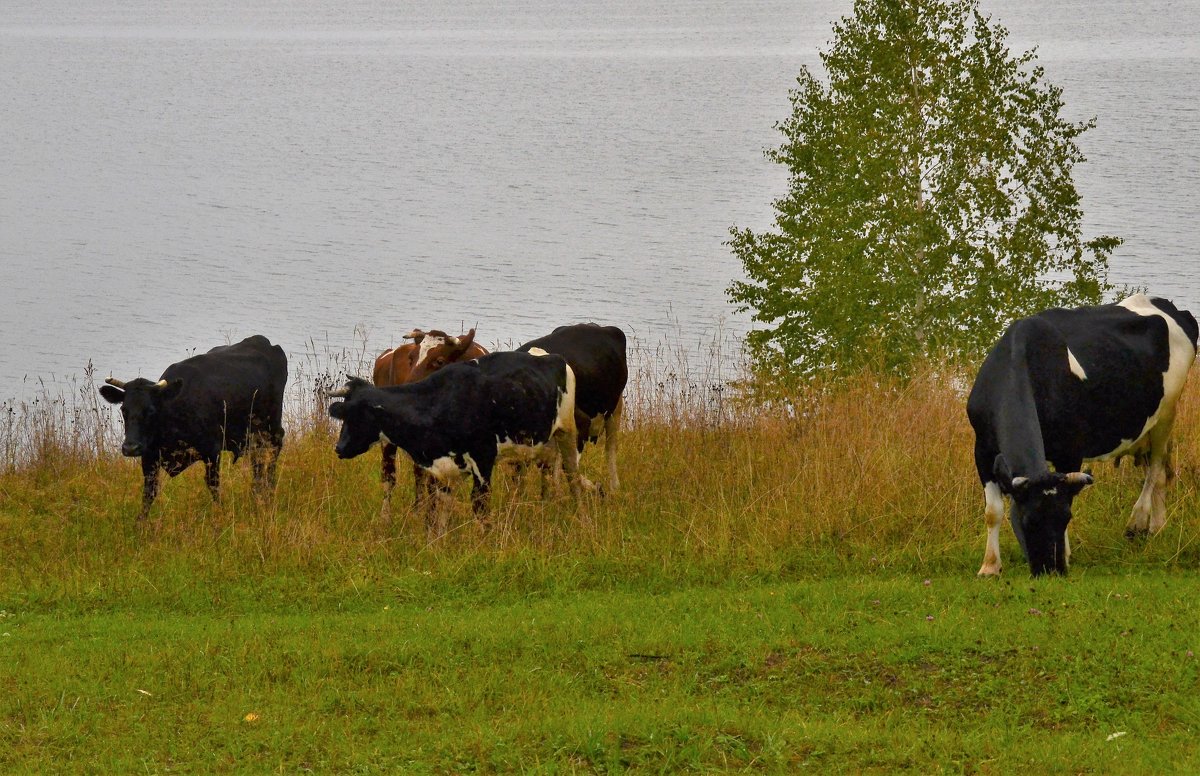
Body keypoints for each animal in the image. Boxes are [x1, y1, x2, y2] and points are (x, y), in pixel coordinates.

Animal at [97, 335, 285, 522]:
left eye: (150, 410)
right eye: (124, 409)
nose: (130, 447)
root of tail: (261, 340)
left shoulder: (212, 451)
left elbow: (213, 485)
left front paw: (220, 515)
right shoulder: (149, 455)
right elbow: (149, 492)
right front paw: (140, 524)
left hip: (272, 426)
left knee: (273, 451)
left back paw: (269, 490)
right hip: (254, 434)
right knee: (257, 460)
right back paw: (258, 491)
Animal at [328, 350, 585, 537]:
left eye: (356, 415)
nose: (339, 448)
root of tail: (551, 357)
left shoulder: (483, 457)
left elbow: (479, 504)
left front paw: (485, 540)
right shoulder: (444, 468)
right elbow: (441, 508)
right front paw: (438, 544)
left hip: (567, 432)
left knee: (572, 475)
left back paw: (581, 514)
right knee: (547, 474)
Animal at [969, 296, 1195, 575]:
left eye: (1065, 518)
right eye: (1028, 520)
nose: (1052, 570)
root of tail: (1166, 304)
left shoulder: (1070, 450)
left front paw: (1065, 555)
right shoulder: (982, 447)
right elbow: (993, 511)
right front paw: (989, 567)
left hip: (1167, 413)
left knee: (1154, 471)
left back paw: (1138, 522)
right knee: (1162, 473)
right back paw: (1157, 528)